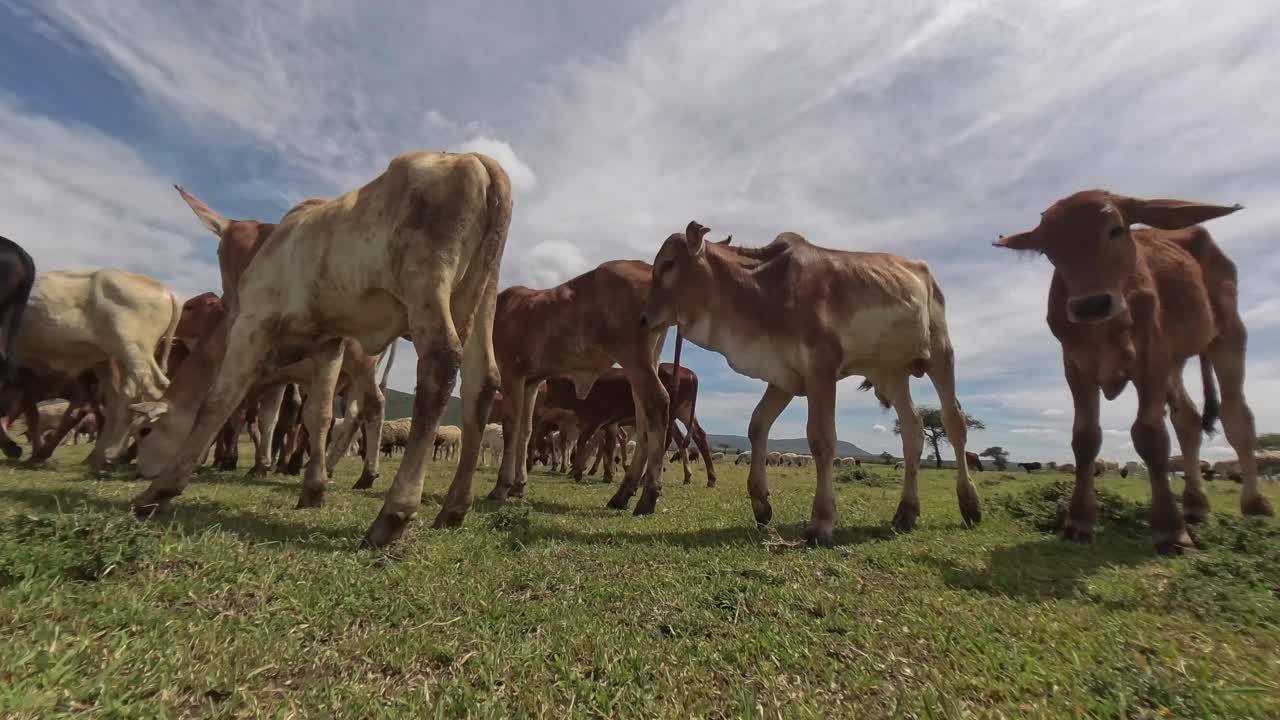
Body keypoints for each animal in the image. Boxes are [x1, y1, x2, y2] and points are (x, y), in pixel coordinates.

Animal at [126, 151, 512, 548]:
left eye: (144, 432)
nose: (136, 470)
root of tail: (473, 158)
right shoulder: (328, 343)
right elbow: (318, 415)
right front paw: (313, 489)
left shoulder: (253, 321)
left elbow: (217, 403)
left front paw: (160, 490)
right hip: (482, 299)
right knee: (481, 383)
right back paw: (454, 508)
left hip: (426, 283)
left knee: (439, 364)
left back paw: (392, 514)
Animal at [639, 221, 980, 545]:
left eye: (668, 264)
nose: (643, 319)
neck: (765, 290)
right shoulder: (783, 377)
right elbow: (757, 426)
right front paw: (761, 506)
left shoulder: (821, 372)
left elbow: (821, 440)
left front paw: (822, 522)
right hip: (891, 373)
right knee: (913, 431)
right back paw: (906, 513)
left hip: (940, 355)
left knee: (954, 423)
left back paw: (970, 505)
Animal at [994, 190, 1273, 553]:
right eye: (1048, 249)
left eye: (1115, 229)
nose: (1090, 304)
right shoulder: (1076, 366)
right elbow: (1085, 438)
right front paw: (1078, 522)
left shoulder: (1151, 358)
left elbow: (1150, 435)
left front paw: (1170, 529)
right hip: (1175, 362)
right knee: (1188, 421)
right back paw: (1195, 506)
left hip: (1228, 335)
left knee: (1237, 418)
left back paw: (1254, 506)